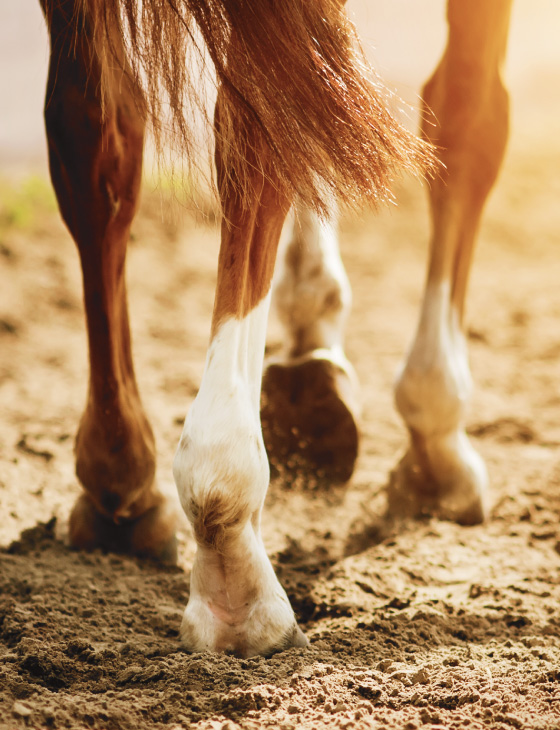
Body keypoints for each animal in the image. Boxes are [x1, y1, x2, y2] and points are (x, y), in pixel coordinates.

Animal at [37, 0, 512, 657]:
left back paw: (121, 475)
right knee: (256, 121)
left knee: (96, 130)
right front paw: (436, 434)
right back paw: (231, 562)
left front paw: (313, 328)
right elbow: (468, 114)